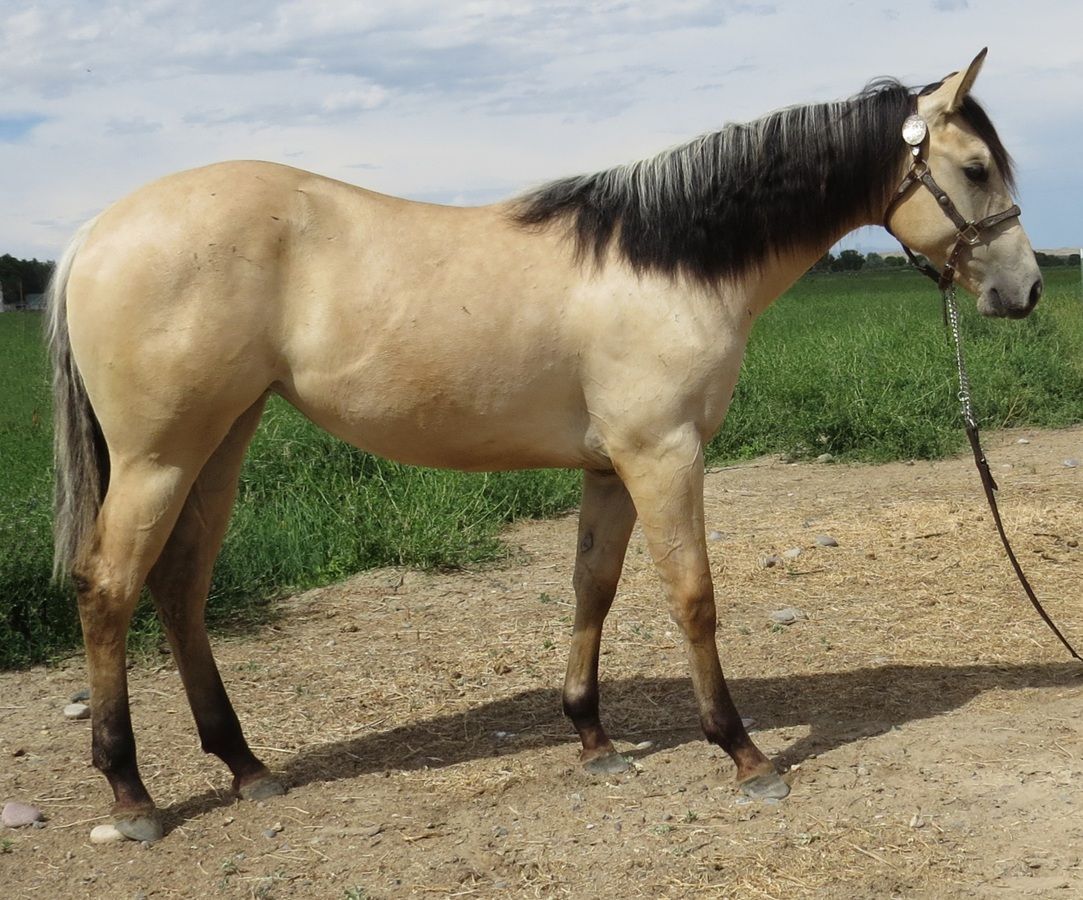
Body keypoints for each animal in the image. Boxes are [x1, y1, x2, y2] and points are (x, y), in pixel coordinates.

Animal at [47, 50, 1040, 842]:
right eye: (975, 167)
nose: (1025, 291)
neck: (668, 261)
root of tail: (94, 231)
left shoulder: (610, 467)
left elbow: (591, 588)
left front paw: (594, 741)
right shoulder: (663, 455)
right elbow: (693, 598)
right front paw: (744, 753)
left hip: (221, 443)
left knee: (180, 588)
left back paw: (246, 767)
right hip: (159, 457)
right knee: (110, 588)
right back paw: (133, 796)